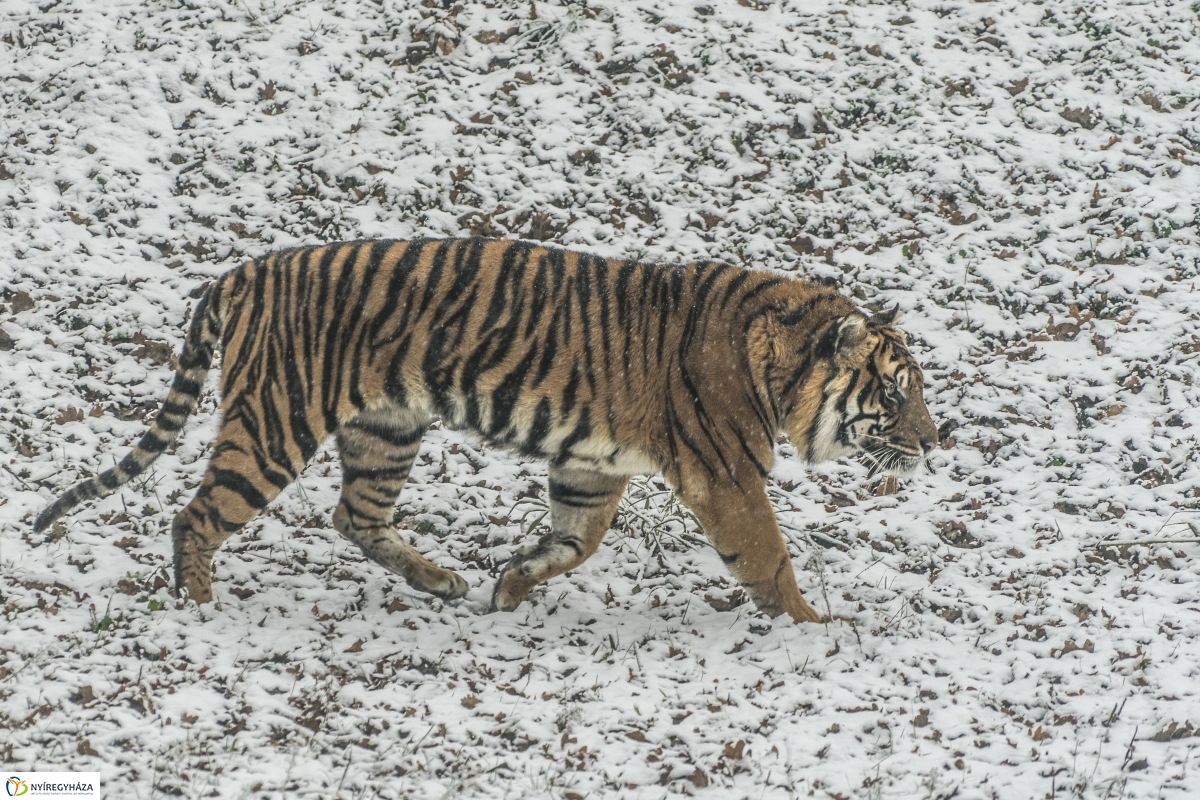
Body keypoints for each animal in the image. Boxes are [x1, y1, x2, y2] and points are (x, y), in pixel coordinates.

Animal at [30, 237, 936, 623]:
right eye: (895, 394)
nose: (935, 442)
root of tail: (245, 270)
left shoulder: (592, 466)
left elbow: (576, 542)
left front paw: (511, 585)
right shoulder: (726, 476)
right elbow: (769, 556)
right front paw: (815, 628)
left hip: (386, 428)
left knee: (354, 515)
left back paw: (442, 582)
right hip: (275, 423)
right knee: (196, 513)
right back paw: (201, 607)